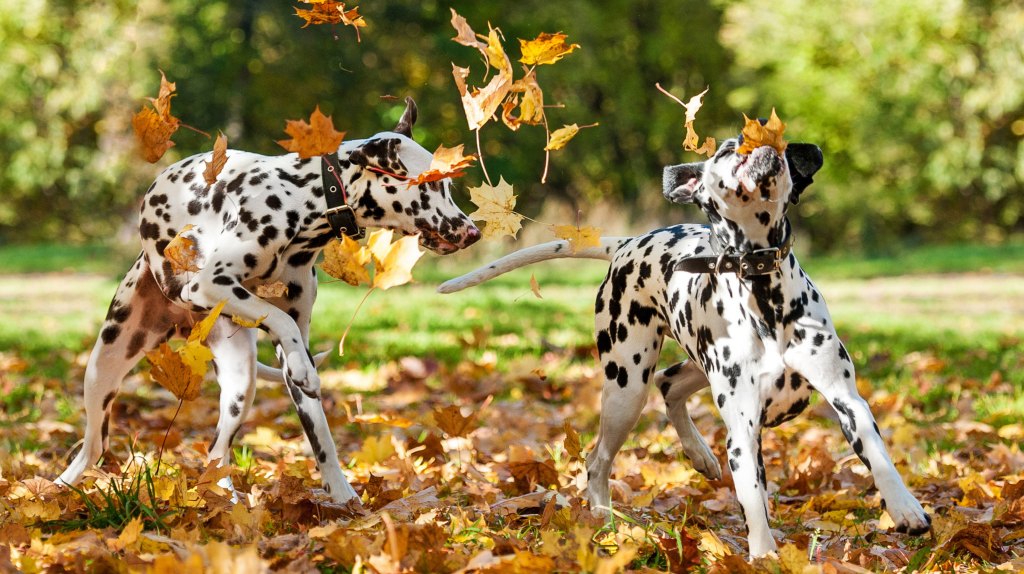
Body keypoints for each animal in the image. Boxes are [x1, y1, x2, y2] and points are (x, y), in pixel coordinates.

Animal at [58, 98, 481, 501]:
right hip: (104, 366)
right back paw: (58, 488)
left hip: (240, 381)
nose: (473, 233)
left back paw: (224, 500)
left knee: (216, 452)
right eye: (431, 186)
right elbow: (282, 321)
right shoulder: (210, 285)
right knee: (94, 446)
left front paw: (344, 497)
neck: (305, 201)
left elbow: (320, 431)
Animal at [440, 134, 929, 556]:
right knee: (600, 458)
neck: (763, 290)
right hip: (626, 386)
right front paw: (764, 554)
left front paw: (904, 507)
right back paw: (605, 521)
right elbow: (752, 499)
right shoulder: (742, 429)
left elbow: (877, 456)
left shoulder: (846, 399)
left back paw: (698, 455)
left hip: (692, 365)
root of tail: (627, 242)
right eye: (729, 149)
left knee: (669, 383)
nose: (755, 142)